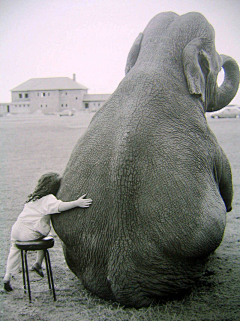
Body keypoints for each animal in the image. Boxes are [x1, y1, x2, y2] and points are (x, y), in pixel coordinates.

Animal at [51, 11, 239, 308]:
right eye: (216, 64)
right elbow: (227, 194)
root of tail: (124, 282)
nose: (228, 58)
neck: (156, 59)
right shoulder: (212, 143)